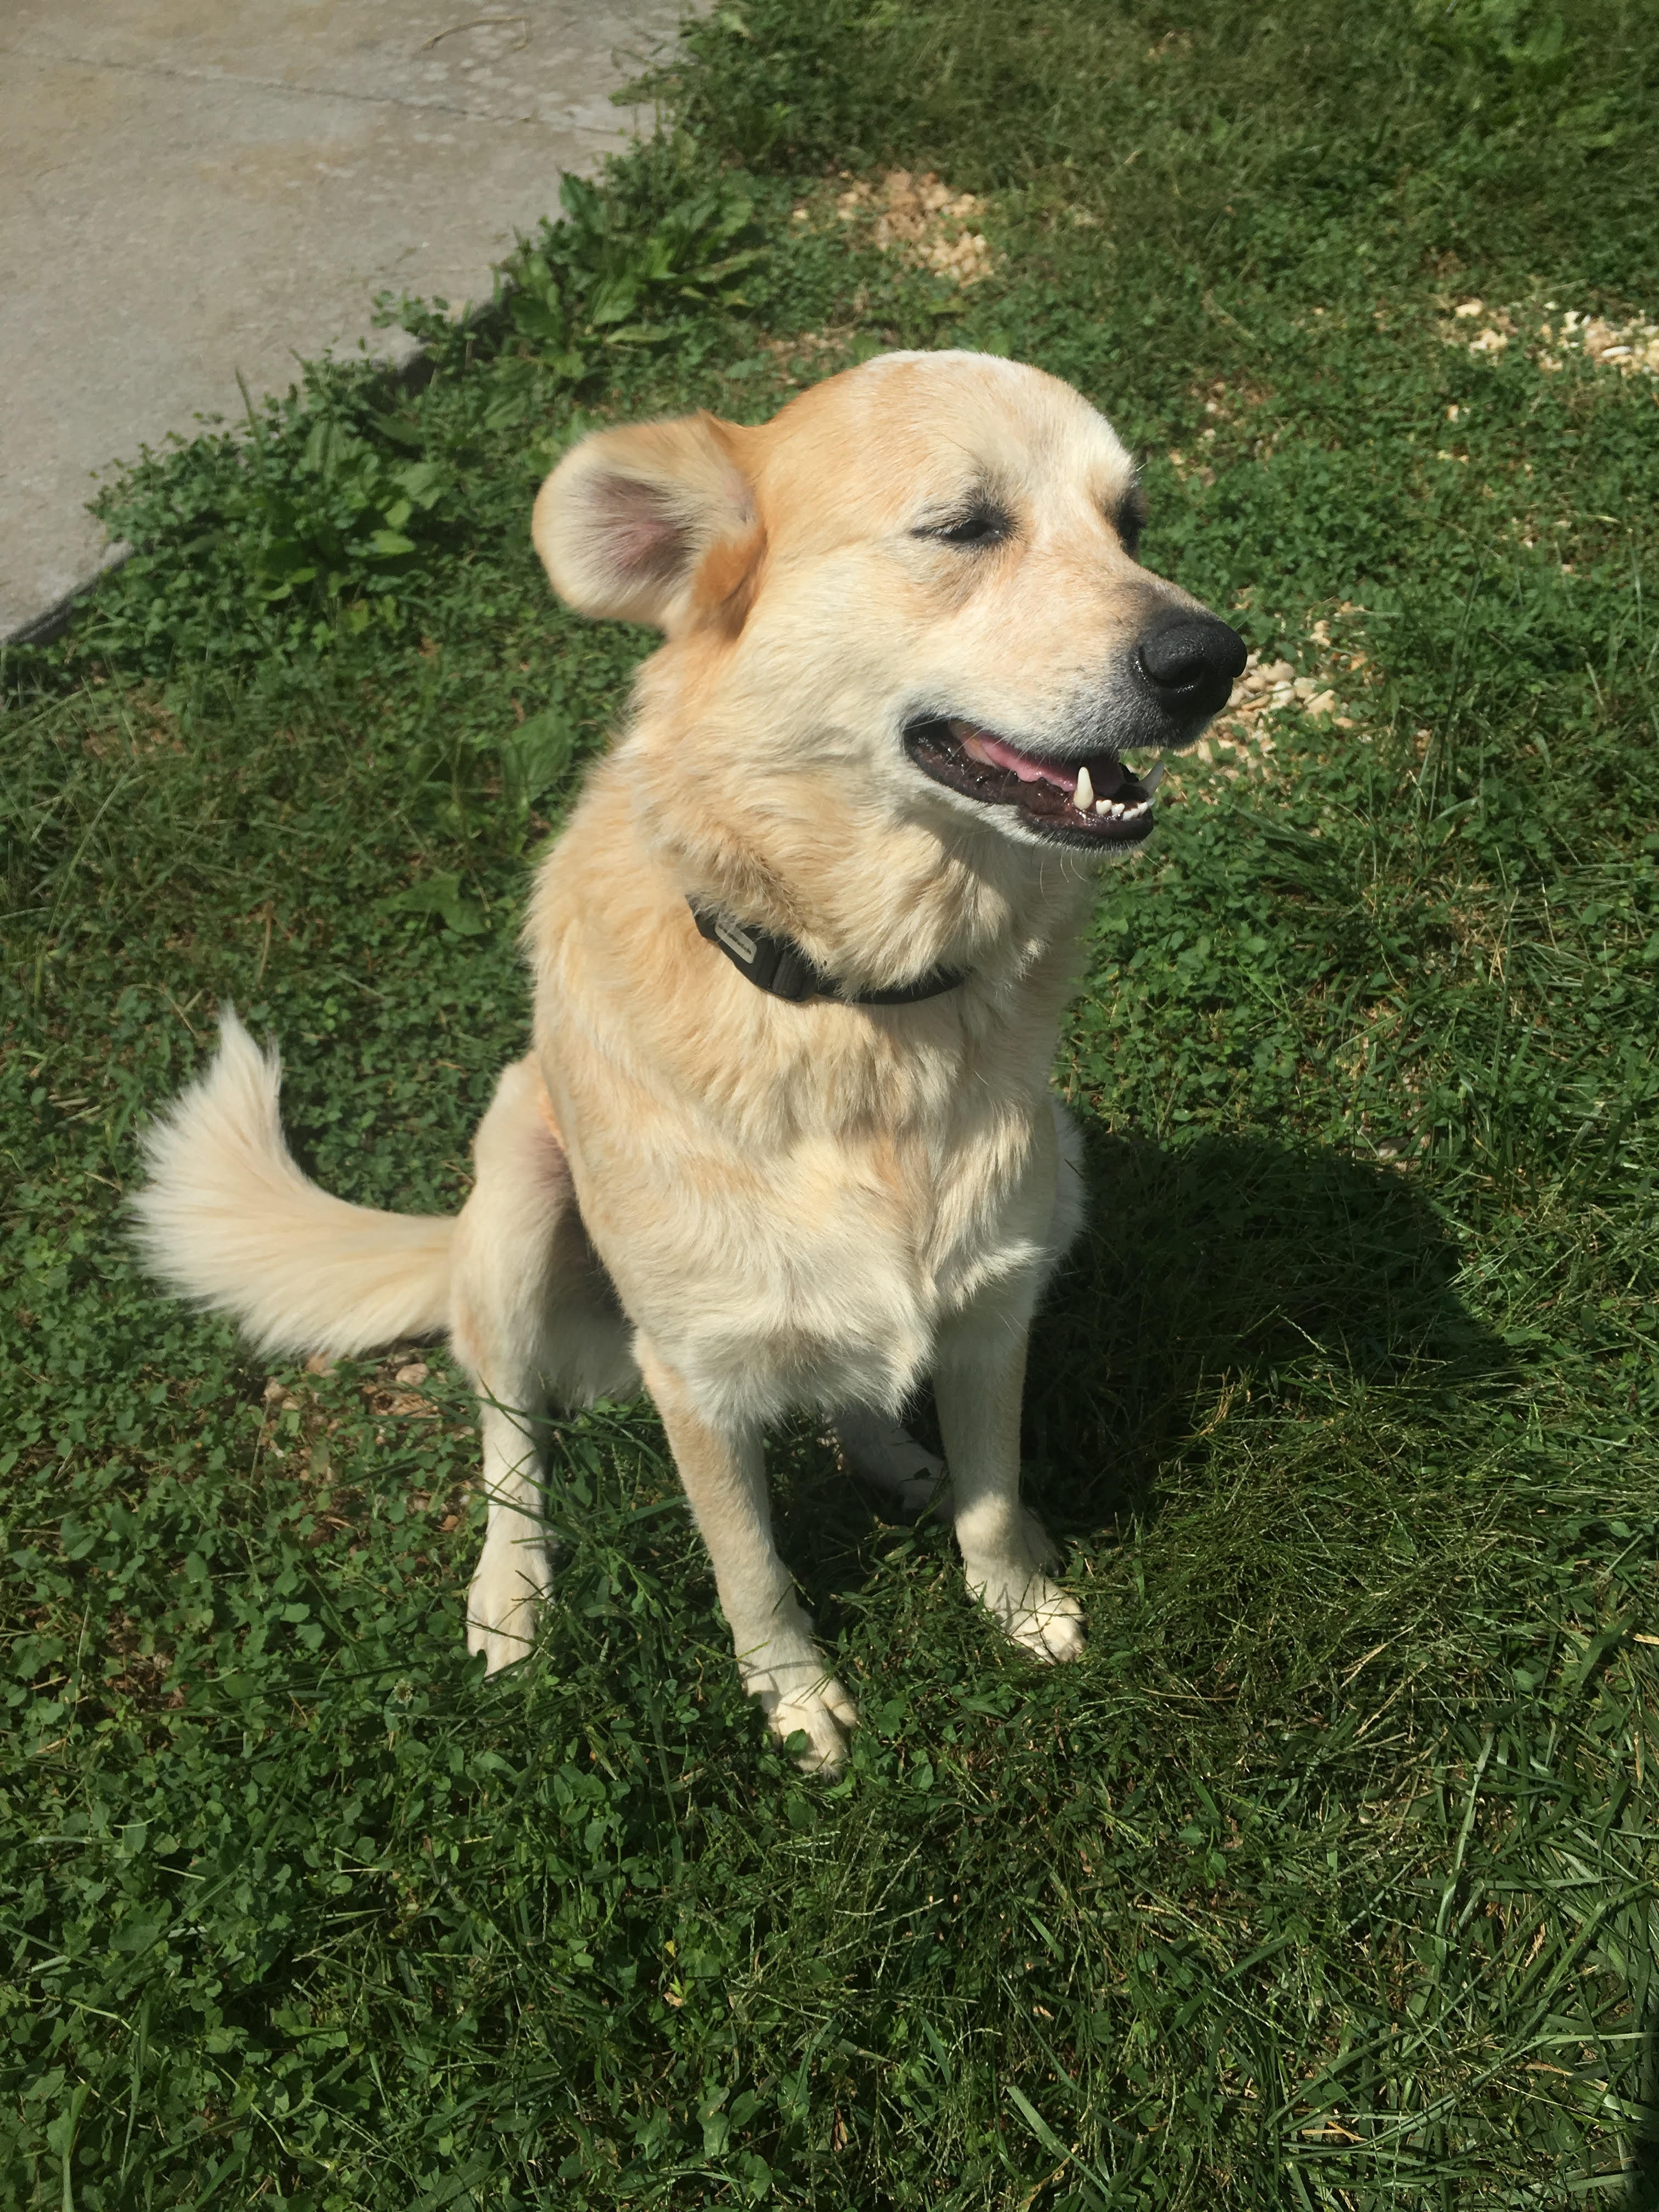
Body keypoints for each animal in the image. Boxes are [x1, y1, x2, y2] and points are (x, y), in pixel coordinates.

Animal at [133, 349, 1248, 1760]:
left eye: (1130, 521)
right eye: (965, 526)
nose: (1215, 659)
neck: (853, 1004)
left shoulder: (995, 1306)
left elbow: (995, 1494)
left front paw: (1019, 1601)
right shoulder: (698, 1378)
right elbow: (749, 1566)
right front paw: (796, 1698)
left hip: (1060, 1174)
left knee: (850, 1388)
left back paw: (903, 1462)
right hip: (513, 1208)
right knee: (511, 1442)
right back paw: (510, 1594)